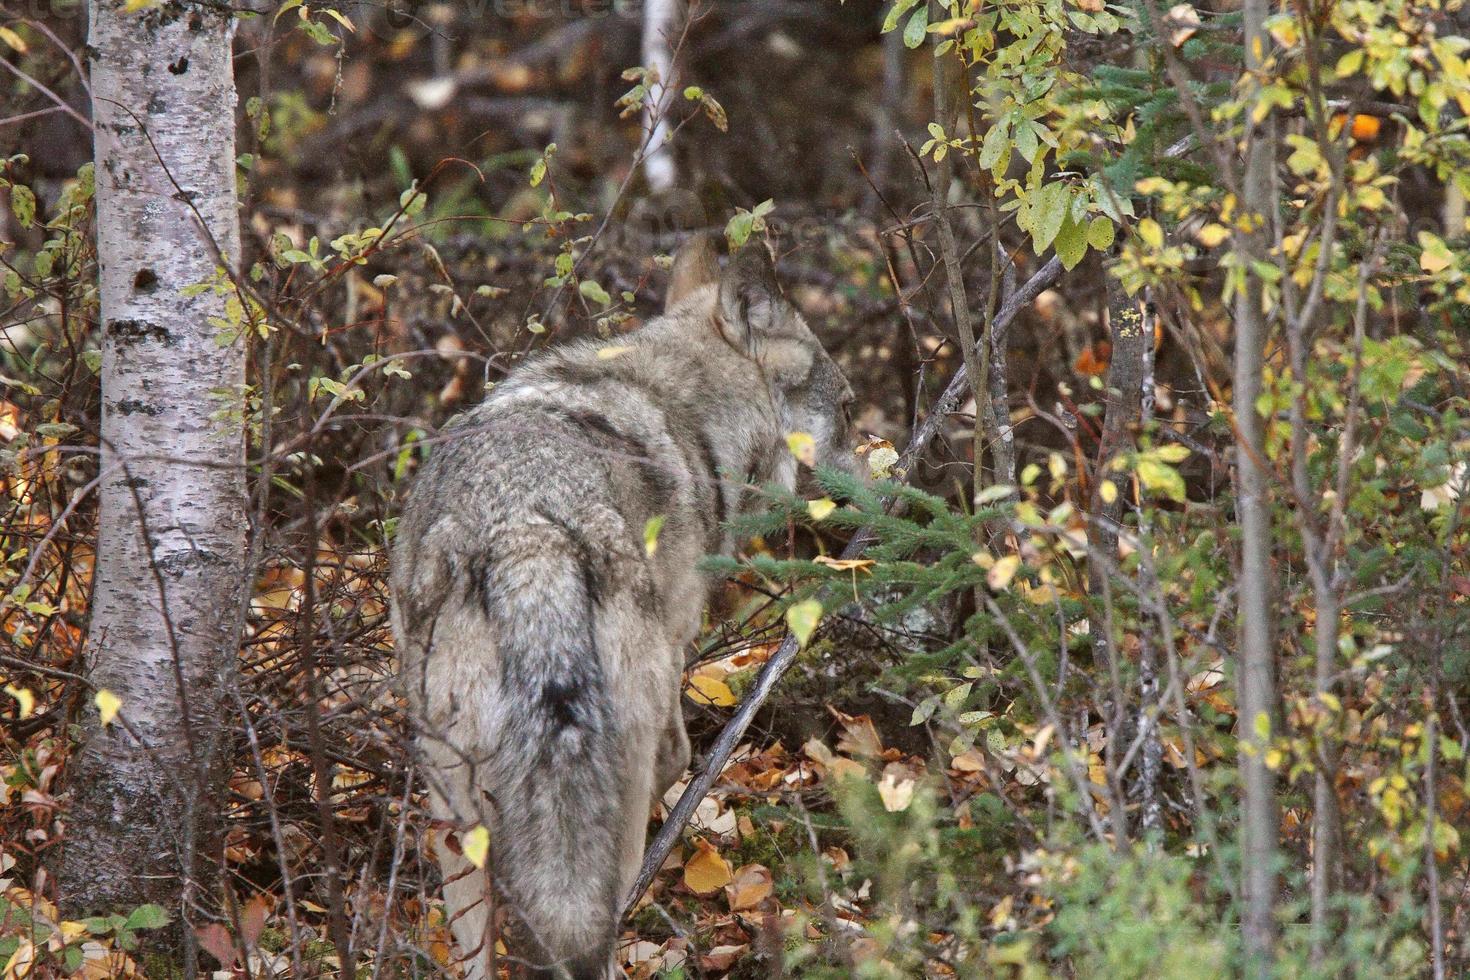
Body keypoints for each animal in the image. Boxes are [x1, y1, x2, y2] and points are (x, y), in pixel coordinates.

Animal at [391, 239, 858, 980]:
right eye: (847, 407)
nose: (887, 490)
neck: (690, 414)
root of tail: (528, 533)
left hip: (453, 806)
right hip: (621, 777)